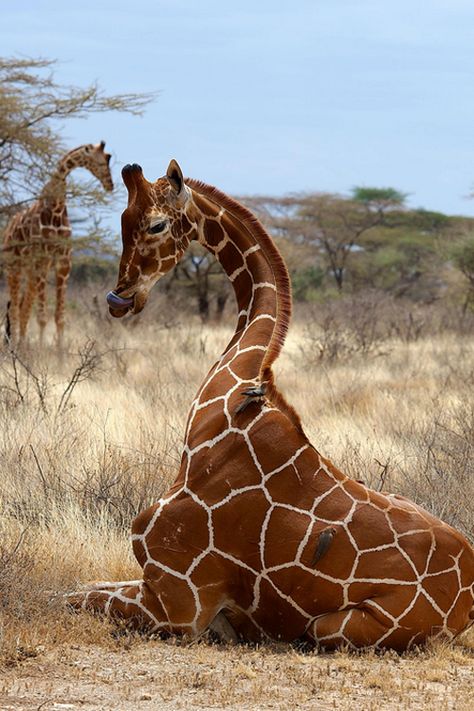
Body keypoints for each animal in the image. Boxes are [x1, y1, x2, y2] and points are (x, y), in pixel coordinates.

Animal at [3, 140, 114, 346]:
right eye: (101, 162)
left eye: (107, 158)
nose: (109, 184)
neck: (56, 207)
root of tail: (7, 230)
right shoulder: (43, 257)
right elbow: (42, 316)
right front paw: (40, 350)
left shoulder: (63, 259)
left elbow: (59, 317)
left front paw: (59, 353)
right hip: (13, 266)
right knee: (13, 308)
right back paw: (13, 347)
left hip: (31, 270)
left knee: (23, 308)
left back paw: (22, 346)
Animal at [67, 160, 474, 652]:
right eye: (122, 219)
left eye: (157, 223)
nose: (119, 298)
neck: (222, 413)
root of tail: (469, 602)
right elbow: (81, 587)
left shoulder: (177, 606)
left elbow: (72, 596)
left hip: (331, 628)